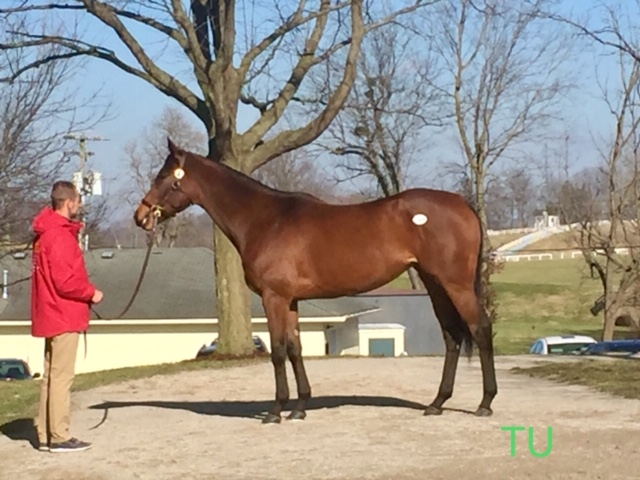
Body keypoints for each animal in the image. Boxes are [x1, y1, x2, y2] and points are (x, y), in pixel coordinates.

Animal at [132, 139, 498, 424]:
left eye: (163, 176)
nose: (141, 216)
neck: (265, 219)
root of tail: (463, 204)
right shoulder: (291, 301)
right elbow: (296, 349)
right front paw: (300, 407)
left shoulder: (274, 298)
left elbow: (278, 351)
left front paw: (275, 411)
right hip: (434, 283)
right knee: (452, 336)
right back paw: (437, 403)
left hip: (456, 284)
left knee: (480, 329)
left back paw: (485, 403)